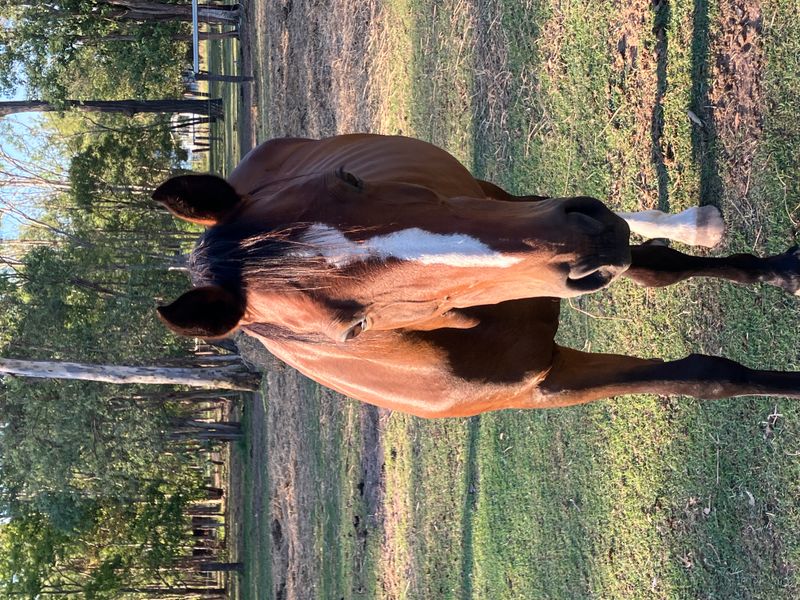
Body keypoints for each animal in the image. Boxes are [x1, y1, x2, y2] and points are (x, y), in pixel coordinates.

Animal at [154, 134, 800, 418]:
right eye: (353, 329)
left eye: (349, 179)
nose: (585, 244)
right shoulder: (547, 385)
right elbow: (703, 378)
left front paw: (781, 270)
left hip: (498, 197)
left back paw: (698, 226)